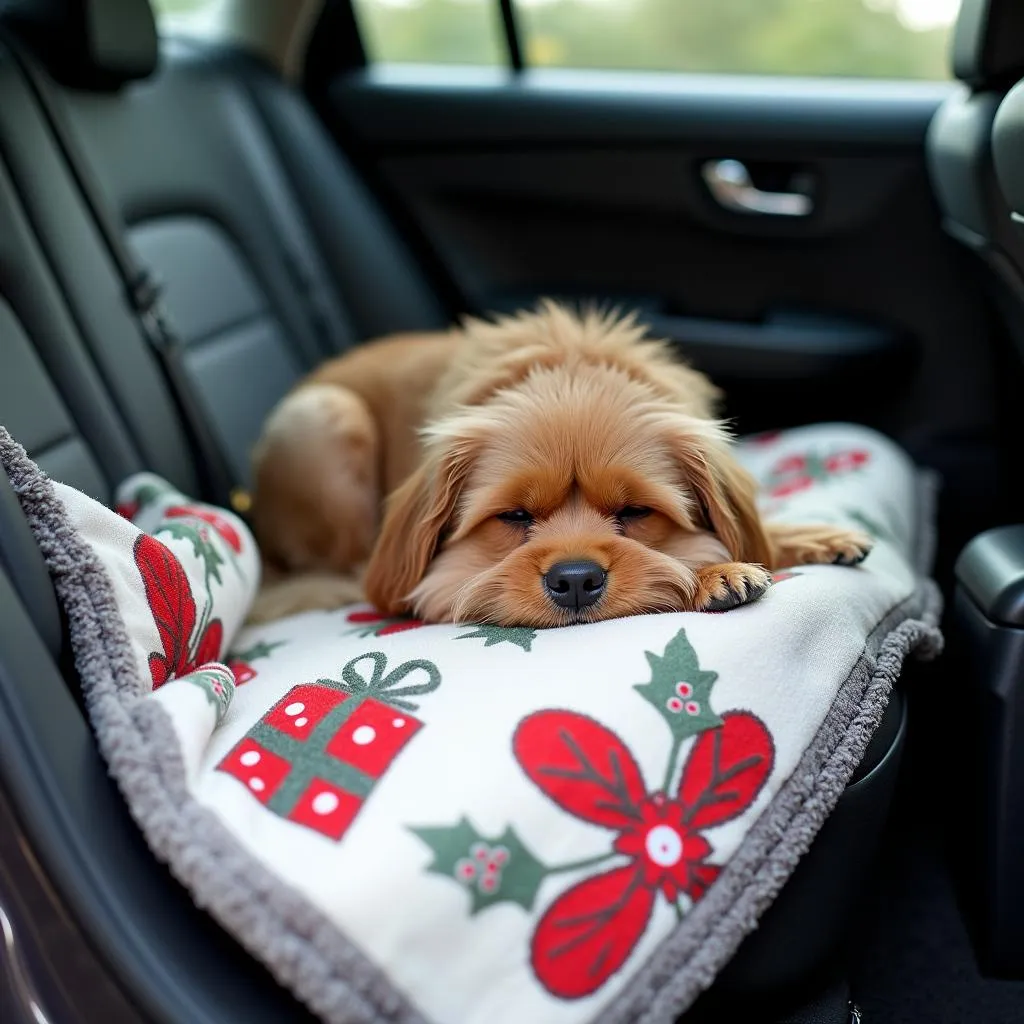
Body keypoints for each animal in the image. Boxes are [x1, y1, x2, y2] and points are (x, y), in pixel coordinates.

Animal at [249, 299, 872, 626]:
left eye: (636, 511)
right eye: (514, 517)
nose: (575, 580)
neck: (570, 369)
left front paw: (803, 536)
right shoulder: (442, 582)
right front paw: (711, 571)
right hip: (323, 415)